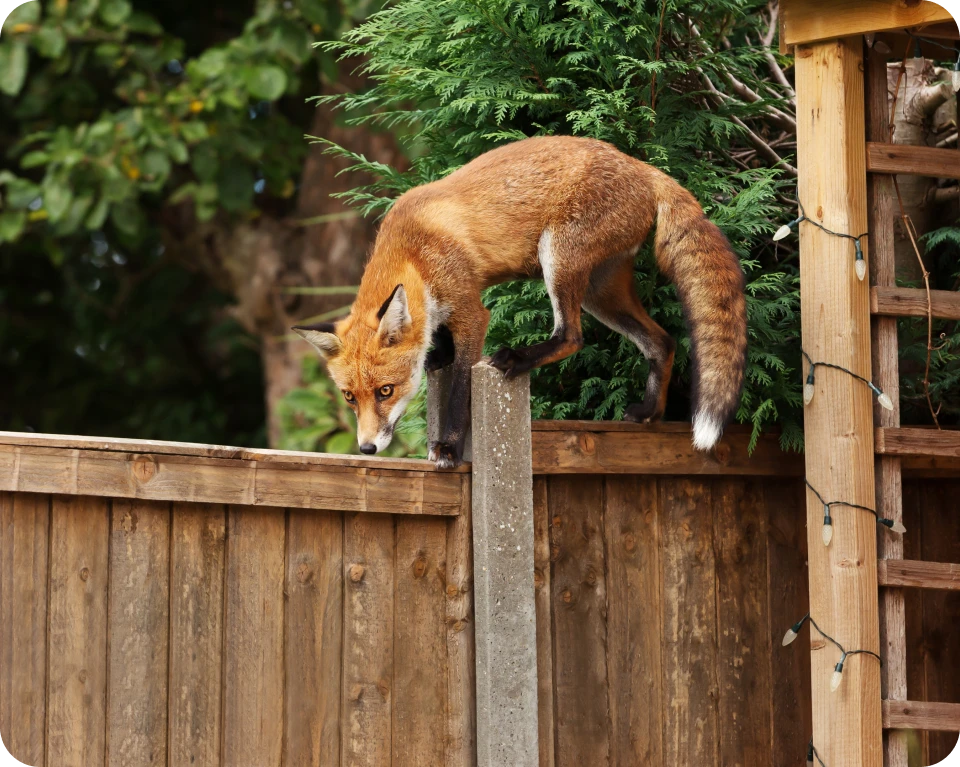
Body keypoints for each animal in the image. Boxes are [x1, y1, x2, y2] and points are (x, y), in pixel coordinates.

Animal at [293, 135, 747, 469]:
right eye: (349, 397)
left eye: (385, 391)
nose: (366, 448)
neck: (414, 253)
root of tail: (642, 166)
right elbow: (440, 350)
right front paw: (438, 355)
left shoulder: (473, 311)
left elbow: (459, 391)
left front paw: (449, 448)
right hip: (602, 293)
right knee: (662, 341)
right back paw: (651, 411)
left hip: (559, 260)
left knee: (572, 336)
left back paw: (517, 358)